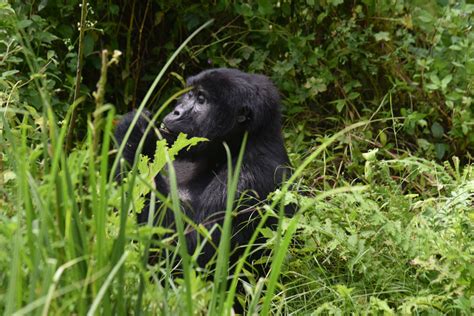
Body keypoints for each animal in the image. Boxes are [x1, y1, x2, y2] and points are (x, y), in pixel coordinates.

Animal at [115, 68, 292, 270]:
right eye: (190, 94)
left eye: (201, 100)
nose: (176, 111)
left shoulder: (248, 179)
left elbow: (192, 253)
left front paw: (133, 133)